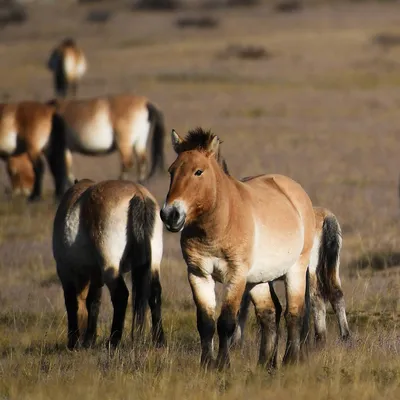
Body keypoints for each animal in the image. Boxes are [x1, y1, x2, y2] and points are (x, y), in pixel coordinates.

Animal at [53, 180, 166, 348]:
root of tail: (138, 194)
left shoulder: (65, 271)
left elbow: (72, 303)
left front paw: (74, 341)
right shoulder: (95, 274)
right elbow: (93, 302)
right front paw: (89, 340)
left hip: (110, 267)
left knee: (121, 295)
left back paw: (113, 341)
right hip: (153, 265)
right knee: (155, 294)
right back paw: (160, 341)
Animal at [159, 128, 316, 368]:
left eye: (198, 172)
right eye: (171, 171)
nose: (170, 214)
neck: (219, 224)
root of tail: (295, 191)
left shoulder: (236, 276)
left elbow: (226, 322)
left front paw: (223, 364)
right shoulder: (198, 274)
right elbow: (205, 323)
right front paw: (207, 364)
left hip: (295, 270)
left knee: (293, 313)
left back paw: (290, 360)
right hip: (258, 280)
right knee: (269, 314)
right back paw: (265, 364)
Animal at [231, 206, 350, 360]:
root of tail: (326, 216)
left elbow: (245, 307)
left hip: (309, 272)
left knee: (317, 300)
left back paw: (318, 343)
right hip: (331, 270)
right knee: (336, 295)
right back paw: (343, 339)